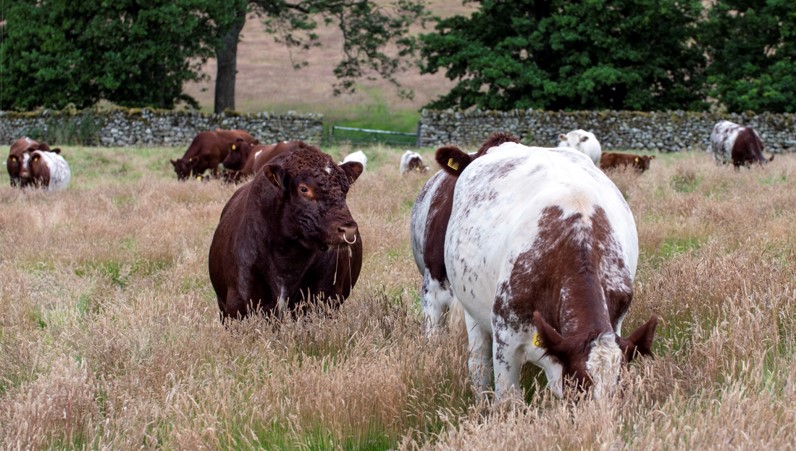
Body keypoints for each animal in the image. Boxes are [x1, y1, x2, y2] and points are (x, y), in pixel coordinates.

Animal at [438, 140, 656, 400]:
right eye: (579, 392)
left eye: (621, 392)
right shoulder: (506, 338)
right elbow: (508, 398)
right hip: (473, 312)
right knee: (478, 363)